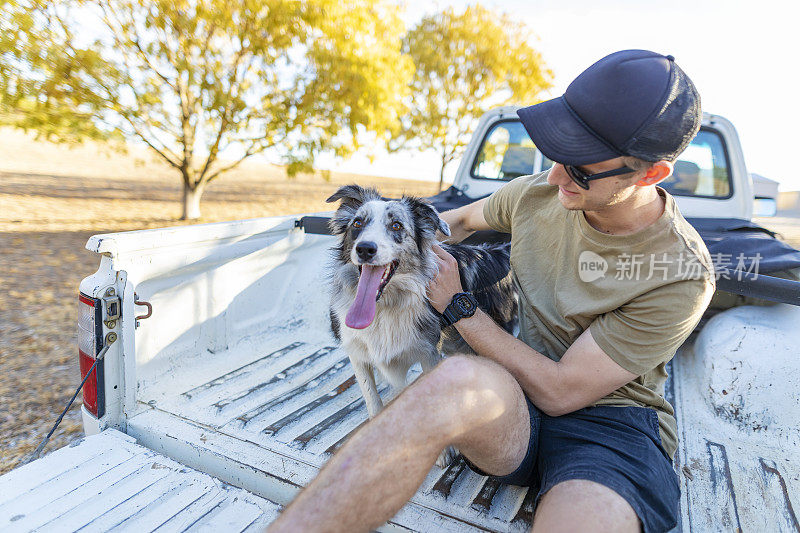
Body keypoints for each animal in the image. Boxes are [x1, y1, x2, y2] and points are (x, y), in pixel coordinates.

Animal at [326, 185, 520, 434]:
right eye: (357, 223)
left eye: (397, 225)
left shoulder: (429, 355)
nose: (365, 249)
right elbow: (373, 401)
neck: (385, 306)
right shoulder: (358, 353)